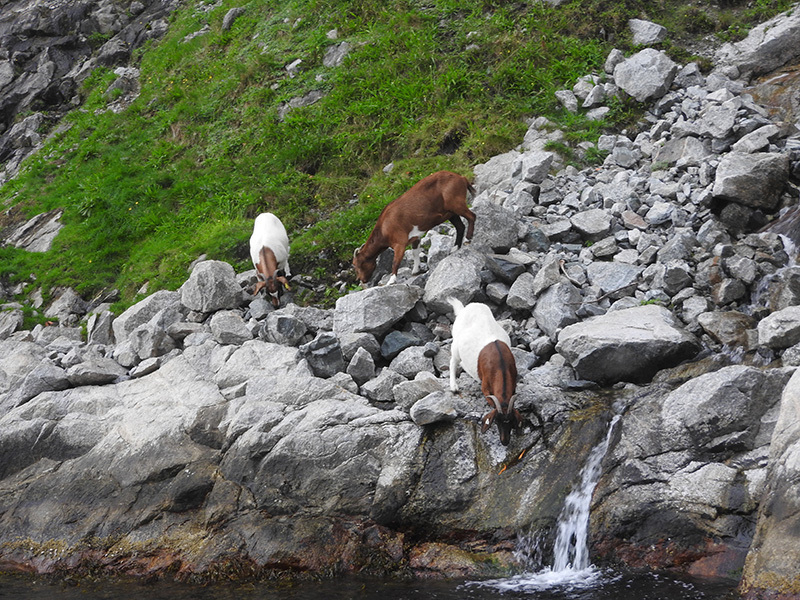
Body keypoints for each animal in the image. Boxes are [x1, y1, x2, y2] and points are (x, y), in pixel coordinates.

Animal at [446, 296, 520, 446]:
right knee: (453, 362)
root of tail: (464, 309)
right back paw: (454, 386)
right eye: (496, 421)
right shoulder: (485, 386)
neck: (501, 366)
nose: (504, 442)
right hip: (455, 344)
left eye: (511, 421)